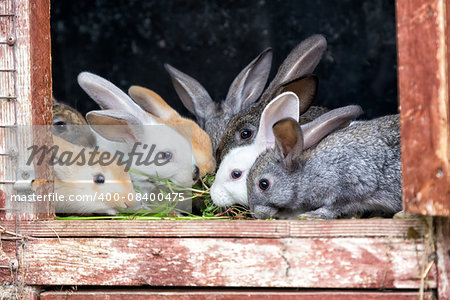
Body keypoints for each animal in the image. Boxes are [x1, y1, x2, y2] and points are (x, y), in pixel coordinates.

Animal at [248, 107, 402, 218]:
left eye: (263, 184)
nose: (256, 214)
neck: (307, 172)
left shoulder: (347, 188)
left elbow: (334, 207)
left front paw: (311, 215)